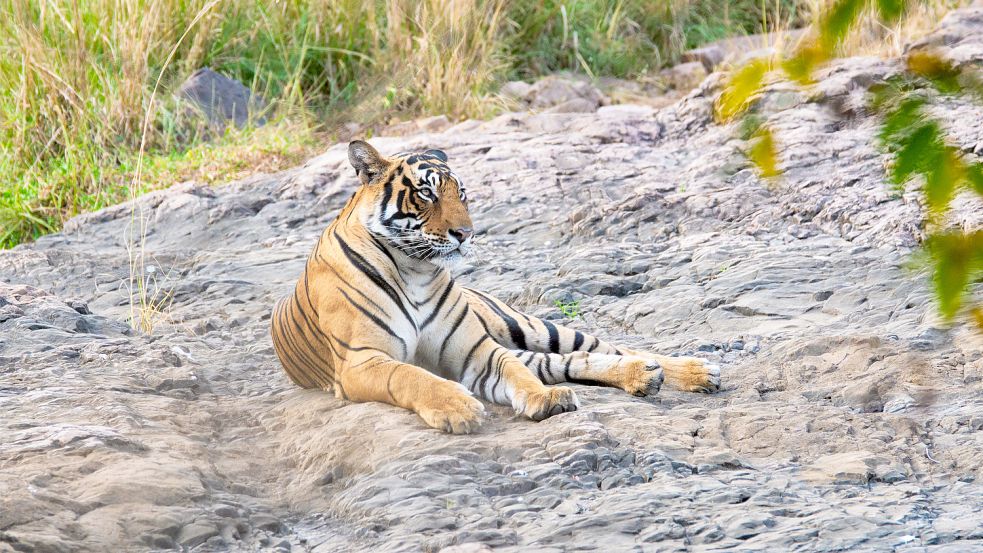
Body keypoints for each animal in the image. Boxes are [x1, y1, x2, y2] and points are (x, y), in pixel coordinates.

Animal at [270, 140, 724, 434]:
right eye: (426, 193)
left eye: (462, 194)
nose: (466, 234)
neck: (414, 269)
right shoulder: (362, 361)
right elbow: (412, 376)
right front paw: (458, 407)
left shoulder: (477, 350)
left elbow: (515, 374)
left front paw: (545, 399)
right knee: (567, 361)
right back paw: (646, 377)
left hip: (528, 326)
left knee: (601, 347)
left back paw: (693, 370)